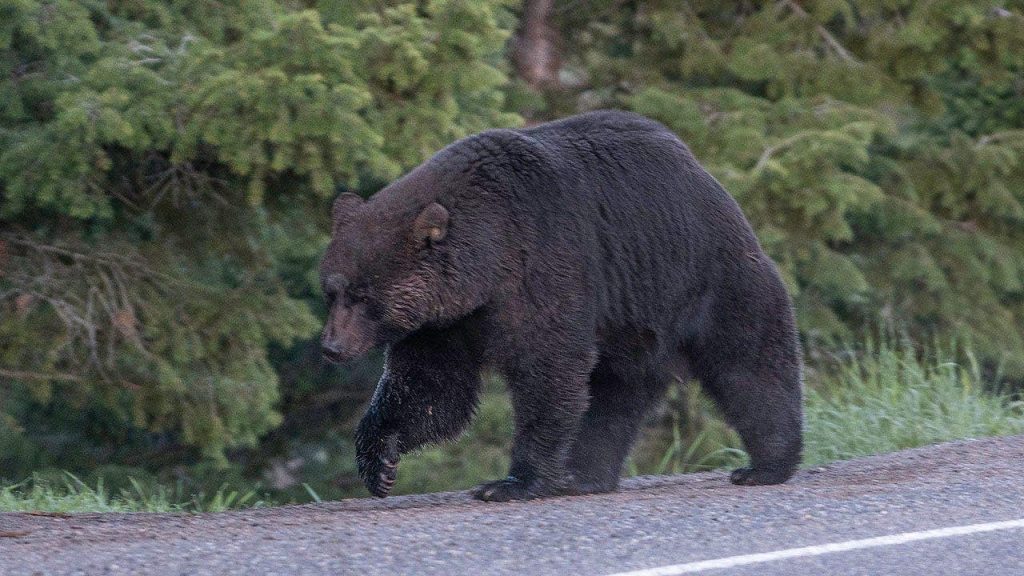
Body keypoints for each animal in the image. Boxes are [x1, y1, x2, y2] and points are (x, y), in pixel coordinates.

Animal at [319, 110, 803, 501]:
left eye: (364, 297)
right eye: (332, 290)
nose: (331, 347)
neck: (484, 263)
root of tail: (705, 173)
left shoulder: (543, 262)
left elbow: (549, 368)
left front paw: (511, 482)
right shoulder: (446, 322)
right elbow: (430, 386)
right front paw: (380, 463)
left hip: (703, 278)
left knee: (749, 364)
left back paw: (765, 465)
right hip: (632, 322)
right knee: (614, 395)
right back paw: (584, 475)